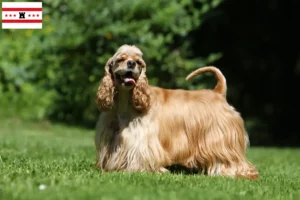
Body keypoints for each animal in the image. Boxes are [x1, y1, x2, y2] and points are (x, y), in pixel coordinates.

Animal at [94, 44, 258, 178]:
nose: (131, 63)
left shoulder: (142, 139)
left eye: (139, 62)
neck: (125, 102)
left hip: (222, 140)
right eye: (120, 59)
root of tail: (218, 92)